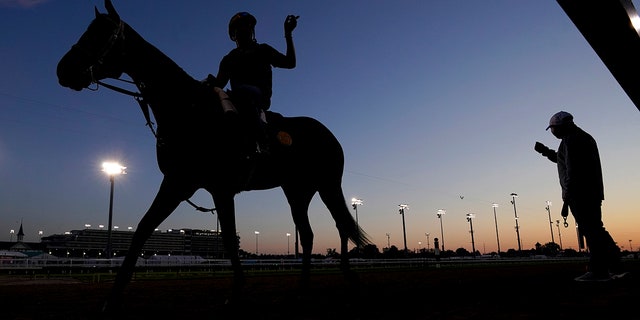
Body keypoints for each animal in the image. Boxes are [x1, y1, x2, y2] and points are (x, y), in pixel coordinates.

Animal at [58, 0, 376, 312]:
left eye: (100, 34)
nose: (62, 70)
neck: (191, 110)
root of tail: (327, 133)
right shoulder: (180, 183)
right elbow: (144, 228)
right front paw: (112, 297)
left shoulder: (212, 188)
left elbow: (228, 238)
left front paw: (235, 293)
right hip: (297, 190)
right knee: (308, 234)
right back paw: (302, 290)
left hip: (328, 184)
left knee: (341, 224)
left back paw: (350, 278)